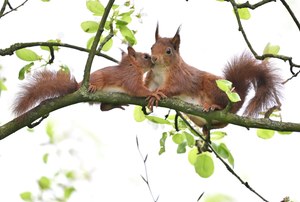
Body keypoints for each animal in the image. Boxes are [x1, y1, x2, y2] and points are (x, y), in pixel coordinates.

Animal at [12, 45, 164, 115]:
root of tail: (78, 86)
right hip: (98, 79)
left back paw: (115, 105)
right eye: (145, 56)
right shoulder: (130, 77)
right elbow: (137, 89)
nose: (154, 60)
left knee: (103, 108)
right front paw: (153, 93)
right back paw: (93, 87)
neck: (133, 66)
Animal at [146, 24, 282, 128]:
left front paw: (158, 93)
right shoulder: (152, 78)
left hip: (214, 87)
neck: (160, 70)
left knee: (223, 105)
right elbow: (147, 87)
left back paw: (214, 106)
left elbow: (174, 87)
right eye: (152, 47)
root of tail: (237, 99)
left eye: (168, 51)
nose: (153, 58)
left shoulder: (180, 77)